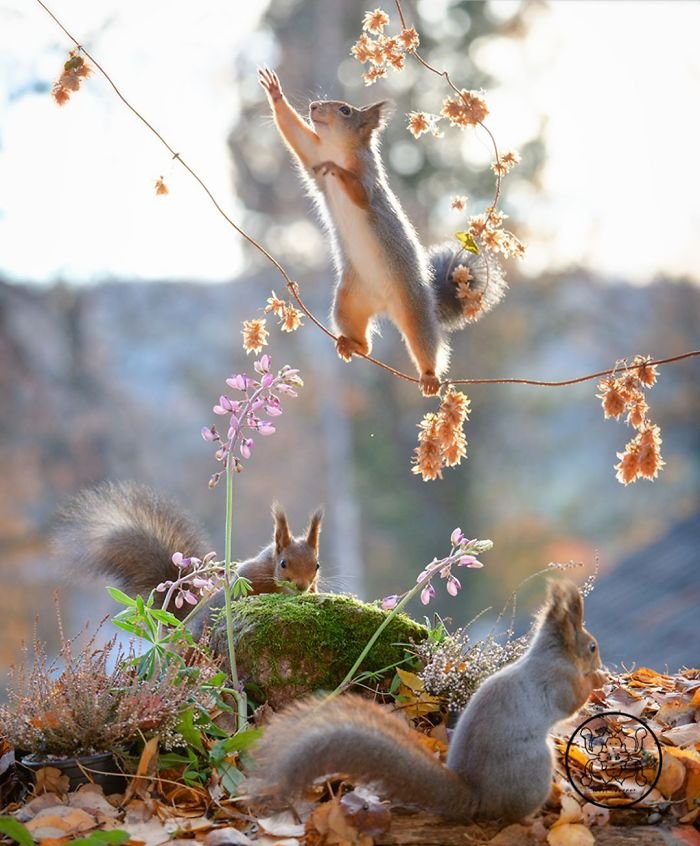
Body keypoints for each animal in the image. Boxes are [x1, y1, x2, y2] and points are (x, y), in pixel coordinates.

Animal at [246, 580, 608, 824]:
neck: (551, 655)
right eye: (591, 646)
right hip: (535, 767)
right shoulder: (556, 682)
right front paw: (596, 681)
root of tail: (479, 797)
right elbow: (571, 703)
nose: (599, 663)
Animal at [258, 67, 504, 398]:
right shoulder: (312, 155)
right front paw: (275, 93)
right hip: (348, 302)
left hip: (413, 308)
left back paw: (429, 377)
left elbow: (359, 192)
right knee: (365, 342)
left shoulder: (368, 181)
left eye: (346, 110)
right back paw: (353, 345)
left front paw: (336, 169)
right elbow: (297, 136)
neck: (337, 149)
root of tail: (384, 306)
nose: (313, 107)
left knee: (425, 344)